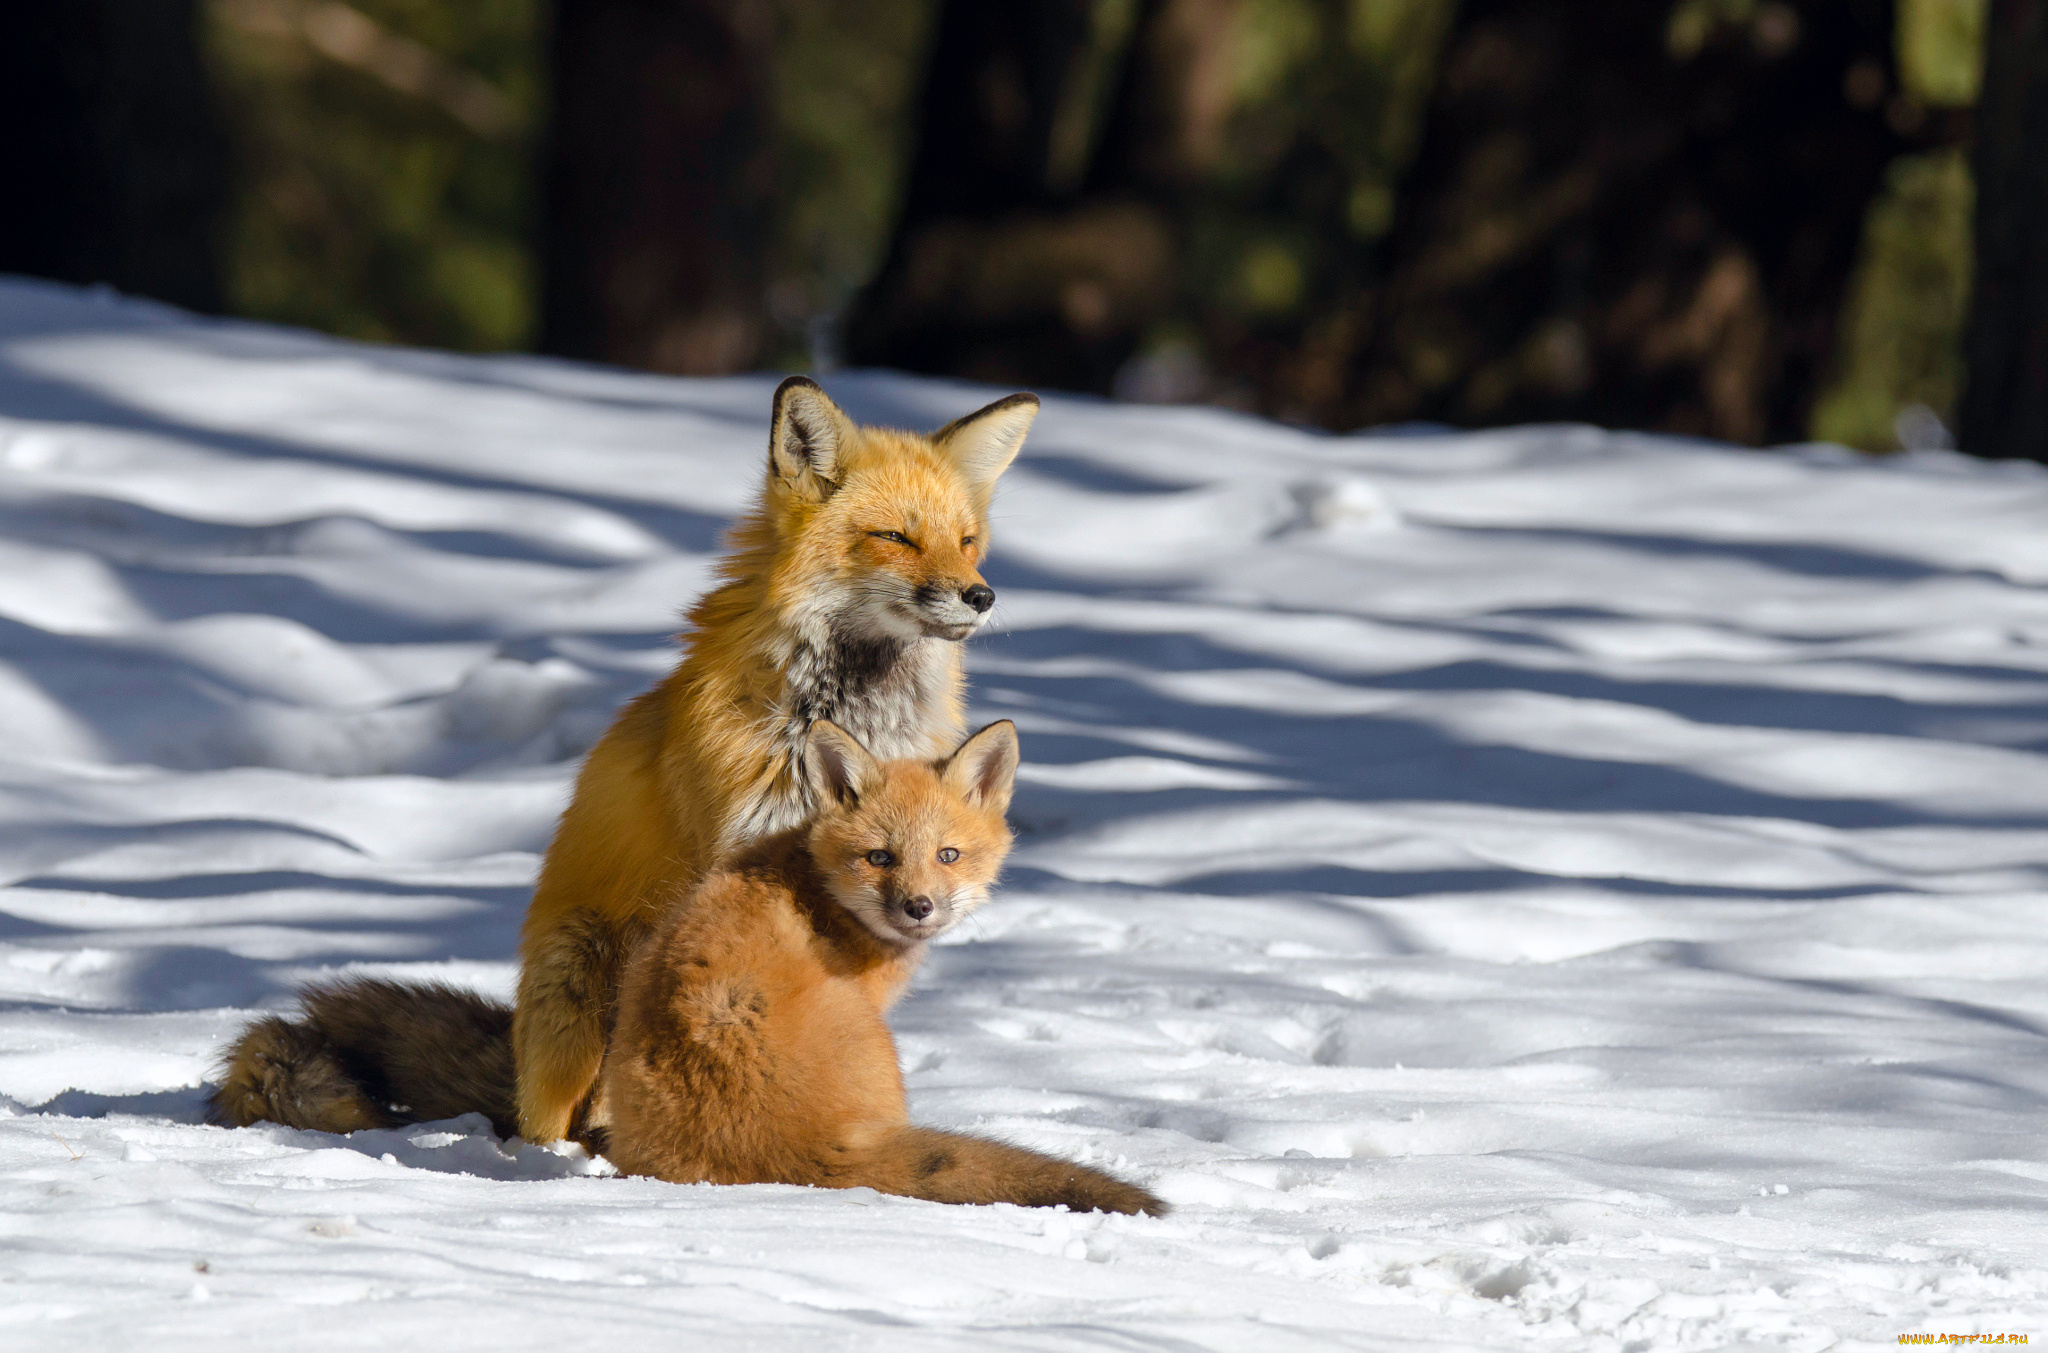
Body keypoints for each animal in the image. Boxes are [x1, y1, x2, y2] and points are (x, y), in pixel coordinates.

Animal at [598, 716, 1163, 1211]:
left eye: (948, 855)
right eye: (879, 858)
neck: (820, 892)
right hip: (883, 1048)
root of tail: (787, 1152)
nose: (919, 906)